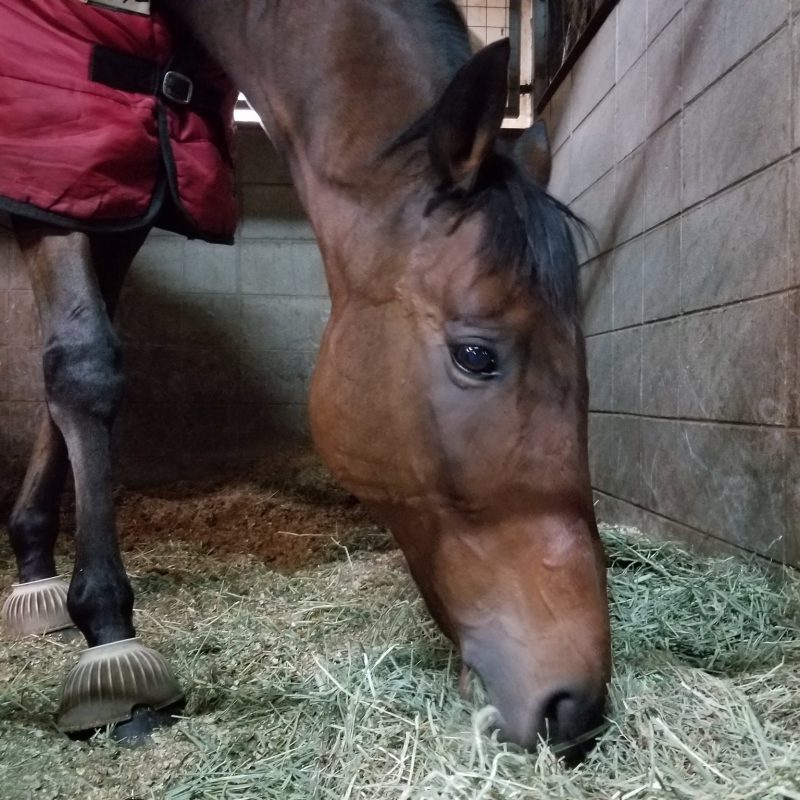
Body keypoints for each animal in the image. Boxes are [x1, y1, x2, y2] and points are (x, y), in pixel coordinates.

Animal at [1, 0, 611, 761]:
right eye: (475, 356)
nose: (578, 704)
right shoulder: (63, 161)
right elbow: (83, 364)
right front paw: (110, 639)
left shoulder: (122, 186)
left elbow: (74, 360)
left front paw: (36, 561)